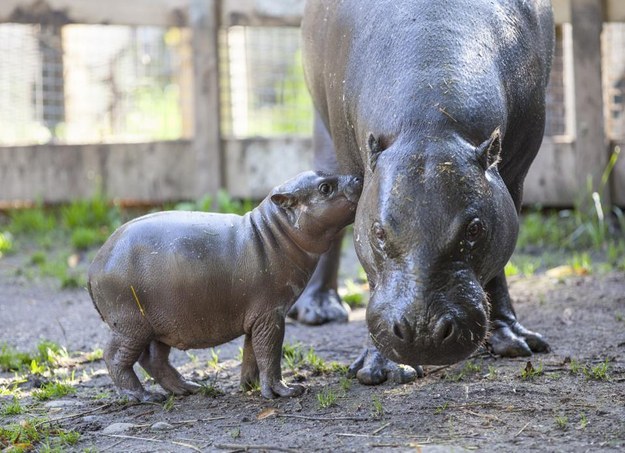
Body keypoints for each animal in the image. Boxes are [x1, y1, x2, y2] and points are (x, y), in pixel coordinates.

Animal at [88, 171, 360, 400]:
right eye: (325, 188)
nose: (358, 177)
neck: (274, 231)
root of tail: (94, 264)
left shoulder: (258, 317)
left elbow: (252, 352)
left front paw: (249, 386)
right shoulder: (271, 313)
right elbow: (269, 352)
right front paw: (285, 391)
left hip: (160, 324)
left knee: (154, 359)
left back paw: (188, 388)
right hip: (130, 325)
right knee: (114, 357)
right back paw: (143, 397)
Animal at [292, 0, 552, 382]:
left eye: (475, 229)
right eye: (378, 232)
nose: (423, 331)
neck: (429, 121)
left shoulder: (515, 172)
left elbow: (500, 262)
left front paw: (514, 342)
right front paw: (382, 368)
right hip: (324, 130)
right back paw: (319, 311)